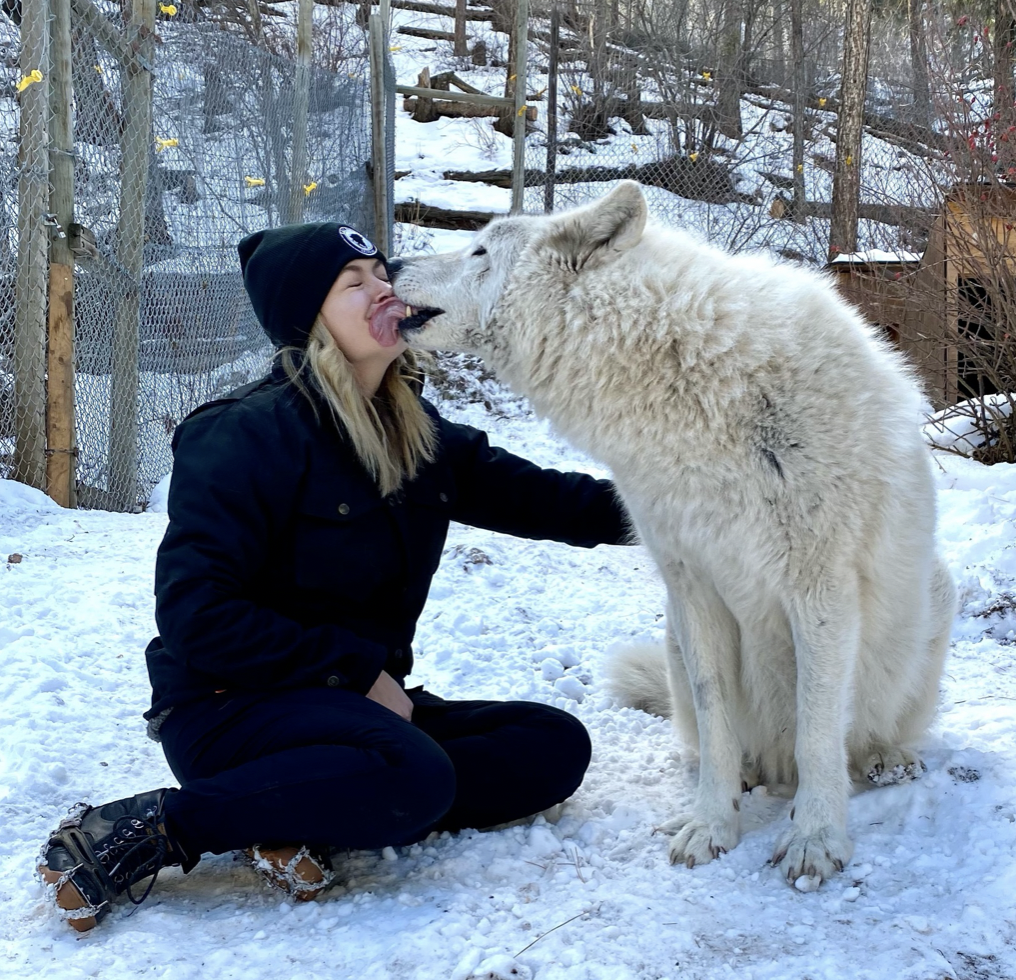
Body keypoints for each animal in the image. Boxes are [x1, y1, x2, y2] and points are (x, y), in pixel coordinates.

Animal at [391, 181, 956, 886]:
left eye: (480, 251)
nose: (389, 263)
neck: (688, 379)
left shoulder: (820, 591)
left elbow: (820, 730)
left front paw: (816, 838)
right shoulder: (692, 588)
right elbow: (716, 724)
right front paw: (712, 826)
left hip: (935, 599)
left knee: (864, 737)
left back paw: (885, 759)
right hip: (672, 637)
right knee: (722, 743)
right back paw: (747, 775)